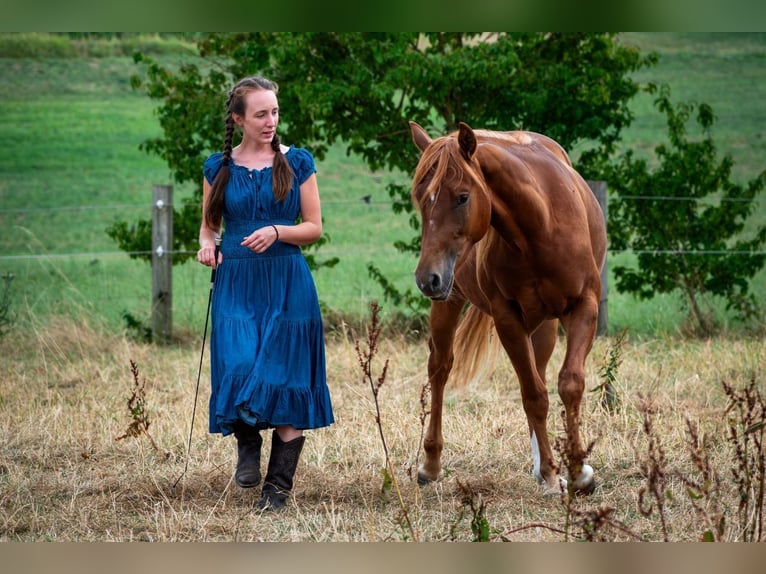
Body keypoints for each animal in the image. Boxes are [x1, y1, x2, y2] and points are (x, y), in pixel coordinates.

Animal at [412, 122, 608, 500]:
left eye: (462, 197)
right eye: (420, 197)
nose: (428, 279)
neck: (540, 227)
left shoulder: (584, 307)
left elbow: (569, 384)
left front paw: (577, 473)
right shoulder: (507, 319)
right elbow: (534, 395)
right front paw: (553, 476)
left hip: (544, 326)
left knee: (540, 370)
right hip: (450, 303)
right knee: (440, 369)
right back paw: (431, 465)